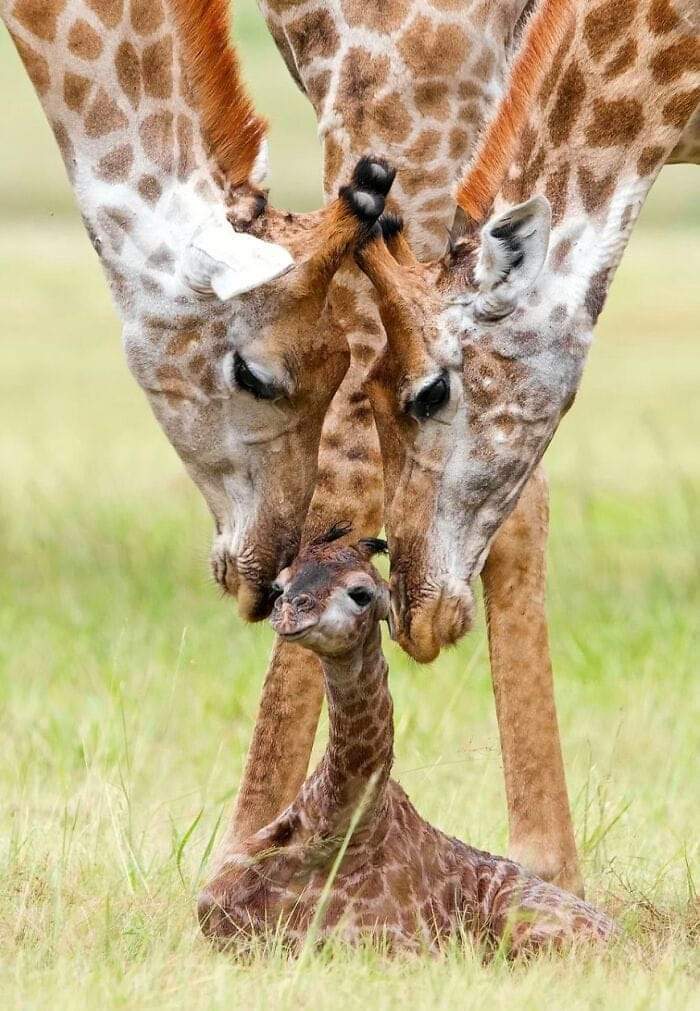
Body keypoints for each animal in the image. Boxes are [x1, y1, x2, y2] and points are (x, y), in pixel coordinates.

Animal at [199, 529, 615, 954]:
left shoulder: (398, 948)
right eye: (279, 586)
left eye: (361, 593)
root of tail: (619, 934)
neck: (332, 823)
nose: (289, 613)